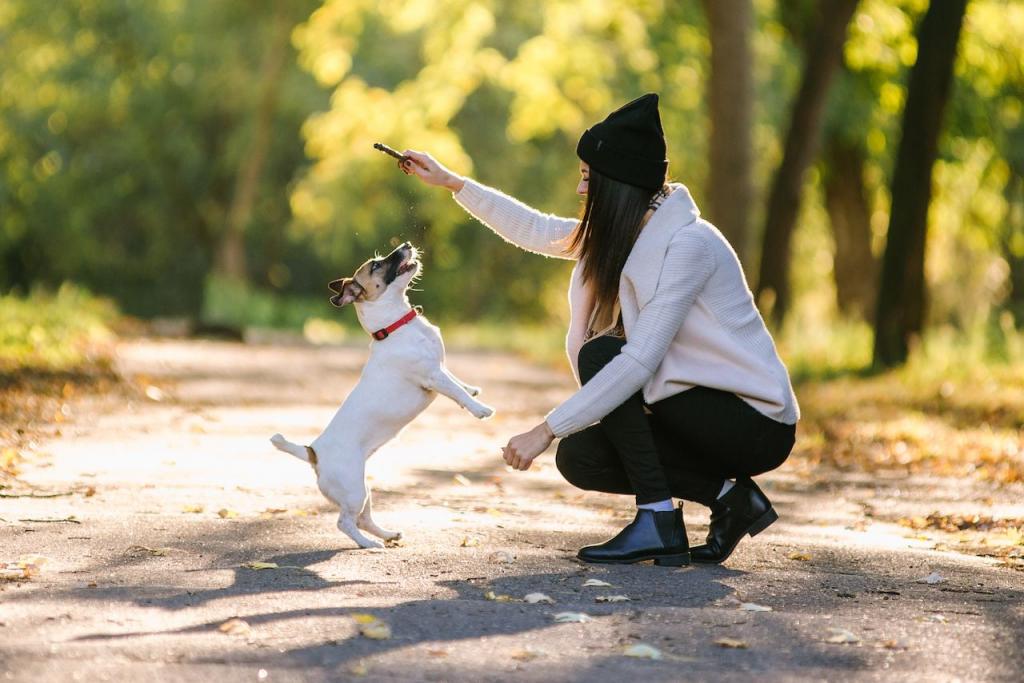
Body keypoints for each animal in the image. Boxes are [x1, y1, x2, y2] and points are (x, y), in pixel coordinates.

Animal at [270, 241, 493, 548]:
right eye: (376, 265)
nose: (406, 244)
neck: (396, 325)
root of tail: (313, 453)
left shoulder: (440, 367)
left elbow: (457, 379)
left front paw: (473, 388)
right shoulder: (432, 376)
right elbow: (456, 391)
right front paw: (479, 408)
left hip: (363, 487)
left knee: (363, 519)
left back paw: (387, 535)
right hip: (354, 490)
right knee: (344, 522)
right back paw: (368, 544)